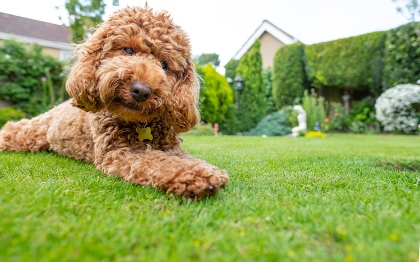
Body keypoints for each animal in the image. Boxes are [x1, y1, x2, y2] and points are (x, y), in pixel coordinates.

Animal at [0, 5, 230, 199]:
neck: (139, 123)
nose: (141, 90)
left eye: (164, 65)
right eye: (128, 50)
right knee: (13, 129)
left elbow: (178, 157)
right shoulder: (117, 152)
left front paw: (202, 168)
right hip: (32, 131)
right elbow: (155, 161)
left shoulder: (171, 147)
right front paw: (195, 175)